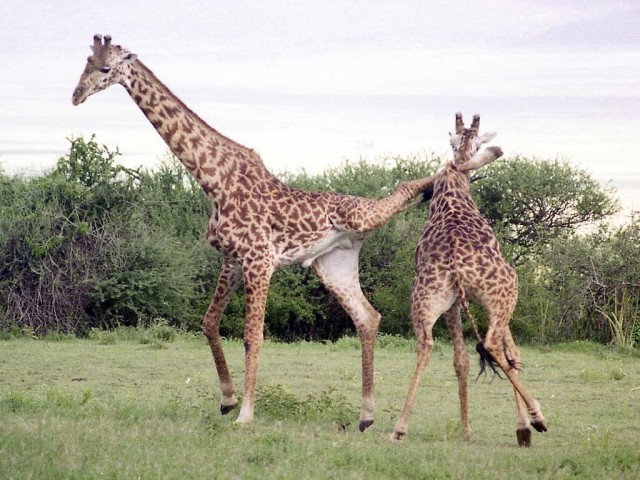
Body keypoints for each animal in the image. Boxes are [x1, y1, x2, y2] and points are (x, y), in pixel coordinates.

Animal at [72, 34, 447, 430]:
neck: (213, 182)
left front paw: (246, 413)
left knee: (400, 192)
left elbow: (253, 335)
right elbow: (209, 322)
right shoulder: (231, 259)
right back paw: (366, 414)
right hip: (334, 263)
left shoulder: (259, 260)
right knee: (368, 317)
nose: (76, 95)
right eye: (85, 62)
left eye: (106, 68)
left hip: (358, 220)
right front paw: (227, 399)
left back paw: (449, 170)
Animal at [390, 113, 547, 445]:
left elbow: (460, 360)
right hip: (506, 291)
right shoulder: (495, 302)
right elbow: (513, 353)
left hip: (427, 301)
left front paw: (465, 430)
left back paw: (399, 428)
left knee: (426, 346)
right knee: (492, 345)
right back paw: (537, 418)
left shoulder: (452, 305)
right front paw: (524, 427)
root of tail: (455, 265)